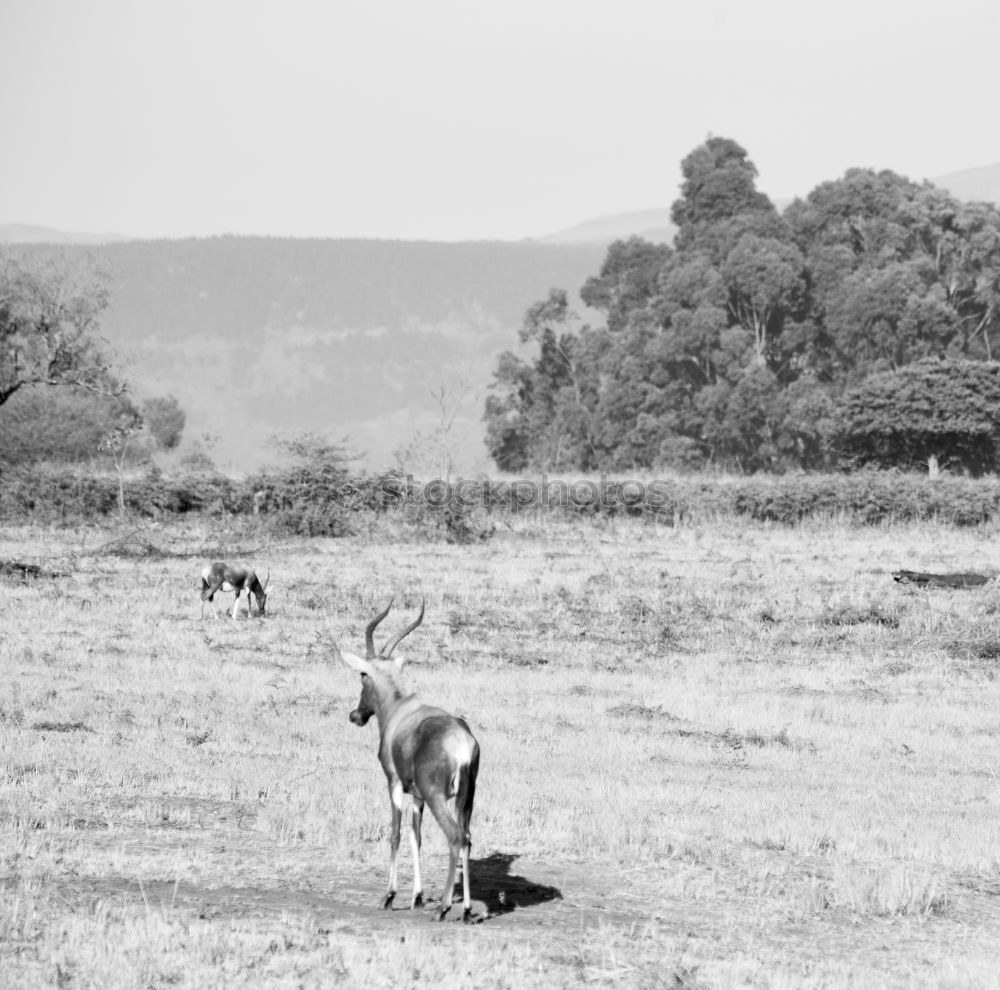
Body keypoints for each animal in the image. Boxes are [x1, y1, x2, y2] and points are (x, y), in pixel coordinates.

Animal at [338, 600, 482, 928]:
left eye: (363, 674)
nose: (356, 715)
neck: (400, 709)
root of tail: (461, 743)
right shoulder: (417, 796)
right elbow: (417, 836)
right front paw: (416, 896)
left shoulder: (394, 784)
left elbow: (395, 833)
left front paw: (389, 896)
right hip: (466, 799)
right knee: (467, 838)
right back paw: (466, 911)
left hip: (439, 797)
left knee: (455, 838)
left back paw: (443, 908)